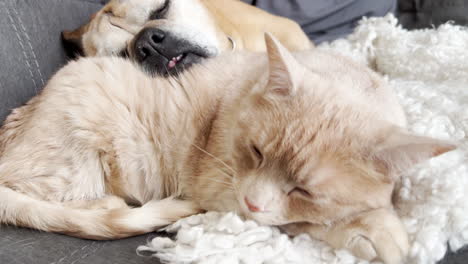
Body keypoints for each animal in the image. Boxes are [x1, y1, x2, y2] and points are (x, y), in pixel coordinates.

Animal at [0, 33, 456, 264]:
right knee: (49, 202)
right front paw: (379, 231)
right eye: (256, 152)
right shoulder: (221, 188)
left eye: (303, 189)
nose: (252, 203)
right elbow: (304, 223)